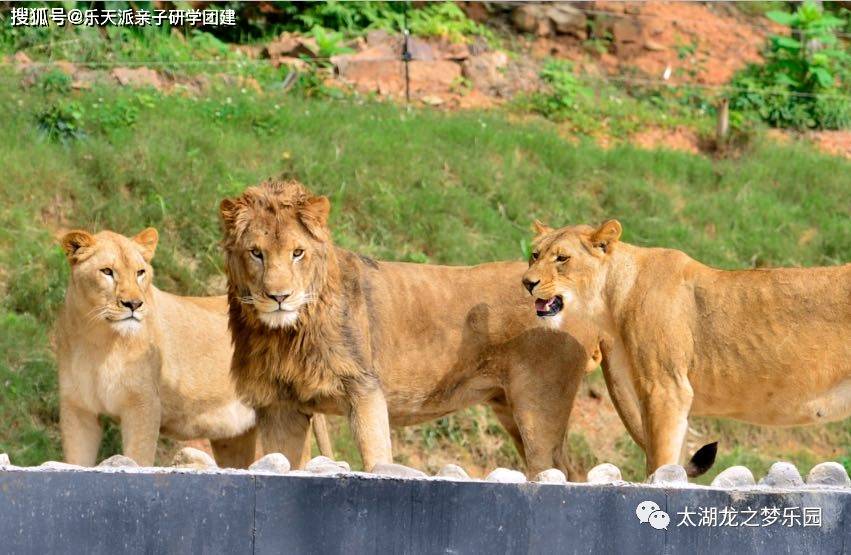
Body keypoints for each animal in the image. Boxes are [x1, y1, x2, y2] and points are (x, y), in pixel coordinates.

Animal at [55, 228, 332, 466]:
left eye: (140, 273)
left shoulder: (143, 407)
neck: (98, 340)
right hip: (232, 437)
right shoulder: (78, 410)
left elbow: (138, 459)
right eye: (107, 271)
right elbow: (76, 462)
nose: (133, 304)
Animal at [221, 180, 600, 476]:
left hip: (539, 408)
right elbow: (282, 461)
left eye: (298, 253)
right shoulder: (280, 407)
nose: (279, 296)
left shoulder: (364, 389)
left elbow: (376, 460)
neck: (283, 334)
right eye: (256, 253)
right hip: (510, 409)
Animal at [524, 219, 848, 476]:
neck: (609, 301)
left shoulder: (666, 389)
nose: (527, 282)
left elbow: (660, 464)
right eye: (534, 255)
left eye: (562, 258)